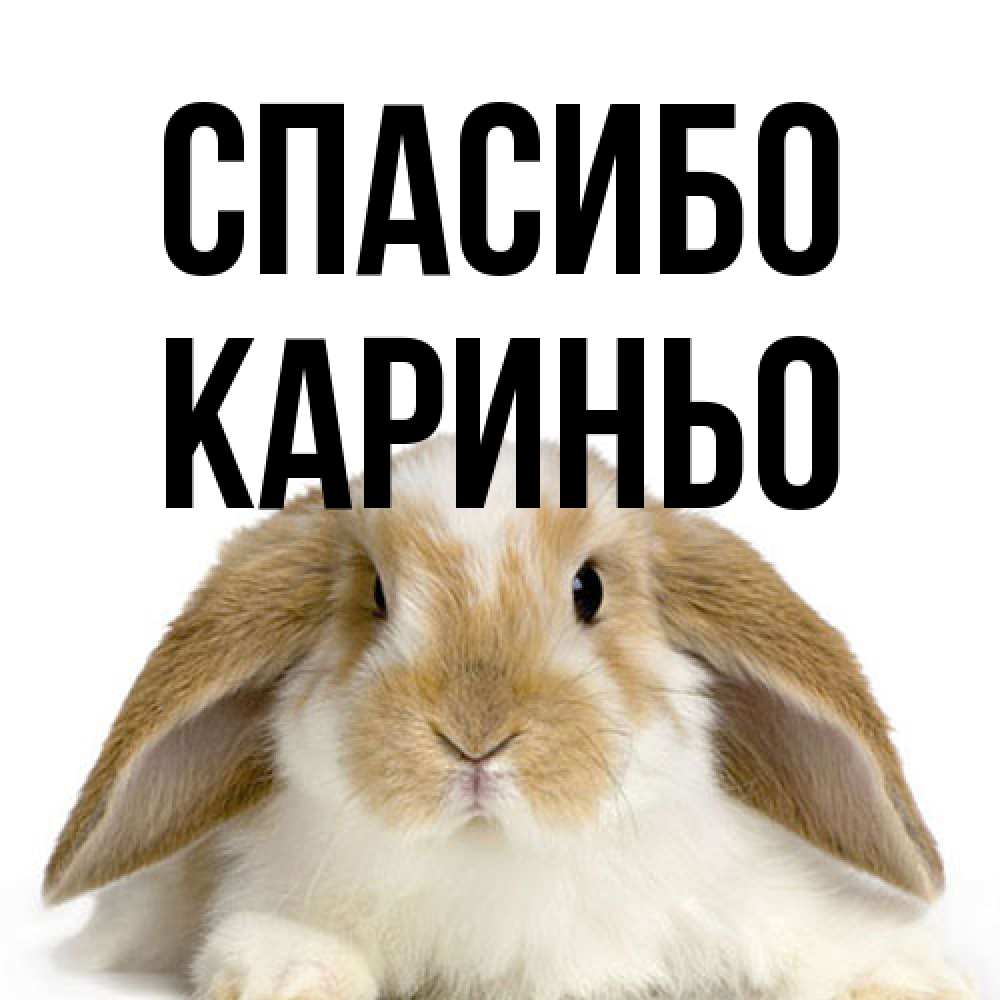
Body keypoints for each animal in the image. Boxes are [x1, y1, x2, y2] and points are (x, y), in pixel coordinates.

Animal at [45, 437, 975, 1000]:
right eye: (375, 596)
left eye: (589, 589)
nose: (475, 737)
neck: (494, 857)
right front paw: (290, 976)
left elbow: (816, 938)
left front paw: (909, 977)